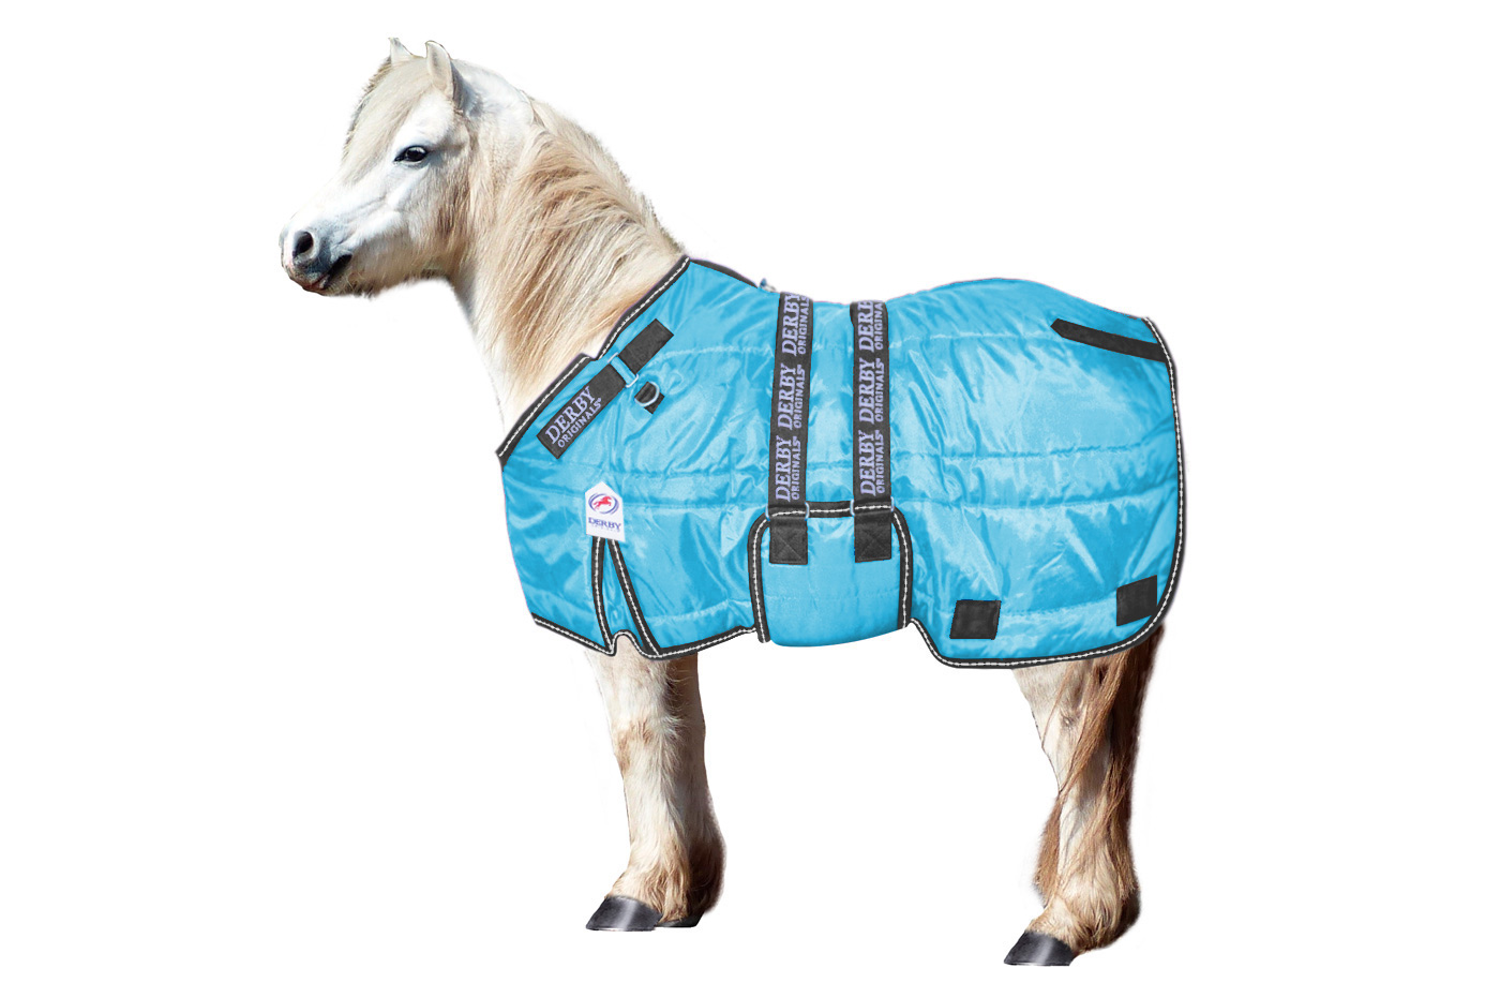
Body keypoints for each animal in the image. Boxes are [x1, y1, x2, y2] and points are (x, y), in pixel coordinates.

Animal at [279, 40, 1173, 966]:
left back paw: (1061, 924)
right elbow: (683, 738)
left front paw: (634, 894)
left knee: (1083, 765)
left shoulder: (615, 614)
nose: (299, 244)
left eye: (412, 151)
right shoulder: (661, 611)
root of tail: (1136, 341)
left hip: (1050, 640)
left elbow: (637, 742)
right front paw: (683, 893)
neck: (598, 337)